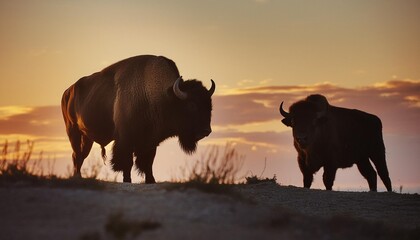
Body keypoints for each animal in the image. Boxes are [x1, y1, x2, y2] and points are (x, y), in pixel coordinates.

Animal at [62, 54, 217, 183]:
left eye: (210, 105)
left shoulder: (151, 141)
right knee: (76, 155)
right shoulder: (125, 141)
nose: (206, 131)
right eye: (191, 105)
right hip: (73, 131)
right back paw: (77, 177)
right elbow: (127, 163)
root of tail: (68, 91)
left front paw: (151, 180)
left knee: (80, 156)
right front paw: (127, 180)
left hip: (87, 137)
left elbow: (148, 163)